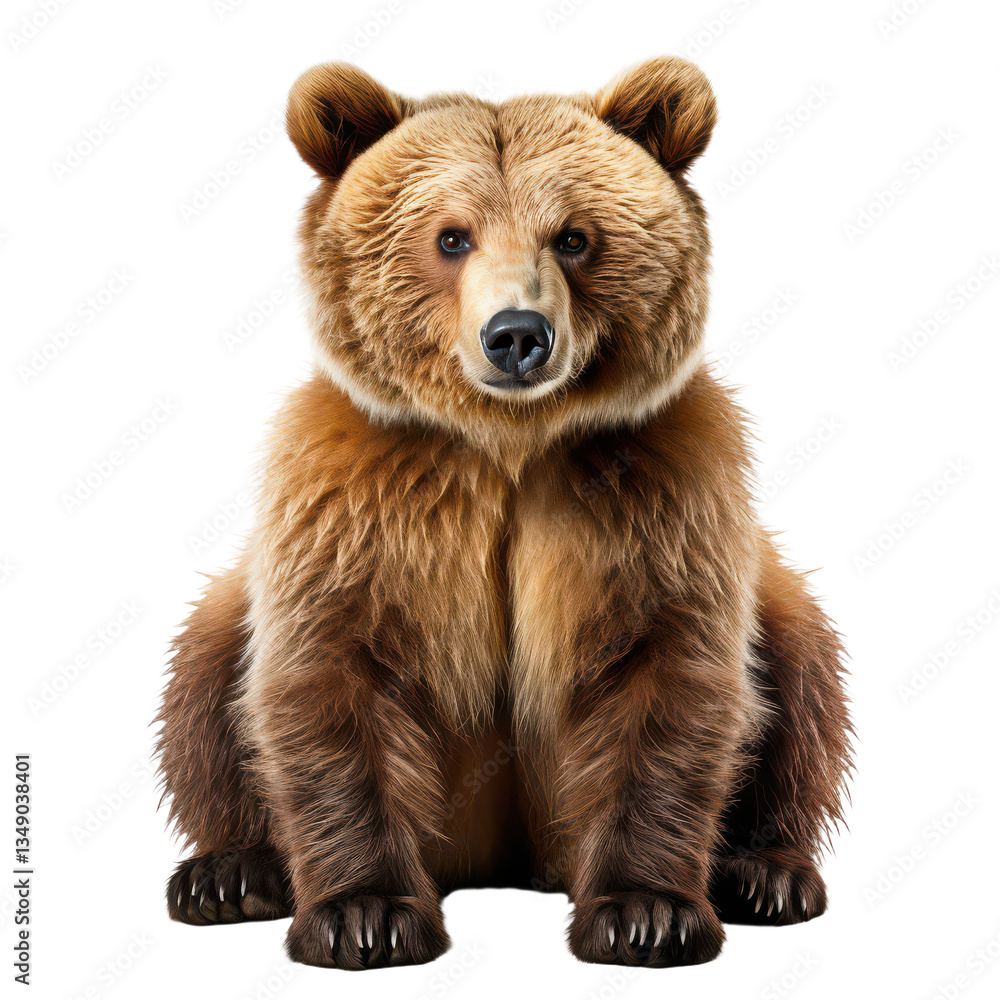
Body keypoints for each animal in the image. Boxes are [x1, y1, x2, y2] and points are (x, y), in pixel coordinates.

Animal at [156, 56, 852, 970]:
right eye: (452, 237)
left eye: (574, 236)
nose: (517, 334)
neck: (509, 446)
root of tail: (506, 864)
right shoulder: (359, 502)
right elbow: (330, 673)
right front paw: (364, 915)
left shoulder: (656, 497)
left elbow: (669, 674)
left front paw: (647, 913)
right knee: (203, 675)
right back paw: (229, 873)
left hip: (769, 597)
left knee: (803, 669)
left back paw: (765, 872)